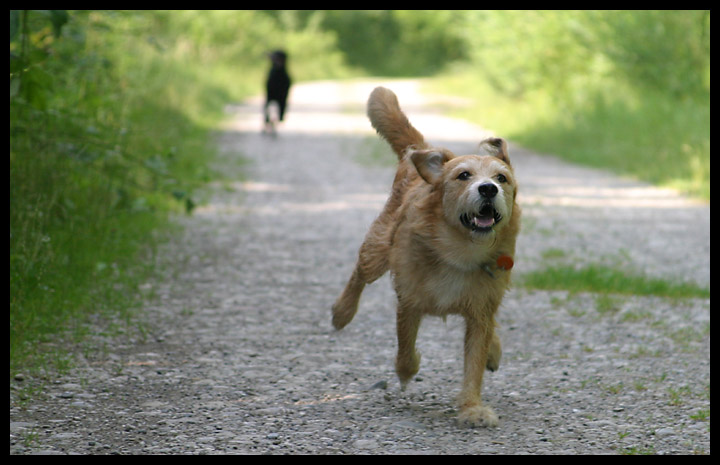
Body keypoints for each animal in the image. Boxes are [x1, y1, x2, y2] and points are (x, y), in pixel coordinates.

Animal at [332, 87, 516, 428]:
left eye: (502, 178)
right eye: (463, 175)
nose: (488, 188)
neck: (460, 249)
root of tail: (423, 152)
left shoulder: (480, 311)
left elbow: (474, 362)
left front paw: (472, 407)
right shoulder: (409, 302)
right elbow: (405, 350)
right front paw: (407, 373)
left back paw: (494, 351)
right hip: (378, 247)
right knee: (360, 273)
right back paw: (342, 311)